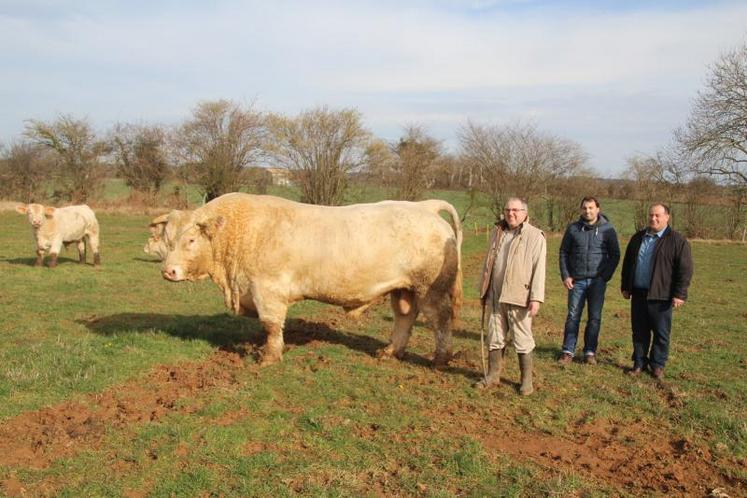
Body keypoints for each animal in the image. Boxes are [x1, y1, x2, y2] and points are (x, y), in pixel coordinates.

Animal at [162, 194, 462, 366]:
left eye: (191, 240)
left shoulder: (267, 289)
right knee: (405, 317)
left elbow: (271, 325)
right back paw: (390, 352)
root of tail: (425, 208)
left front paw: (269, 357)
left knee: (440, 319)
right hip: (404, 288)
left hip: (430, 288)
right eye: (169, 240)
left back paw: (440, 358)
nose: (168, 271)